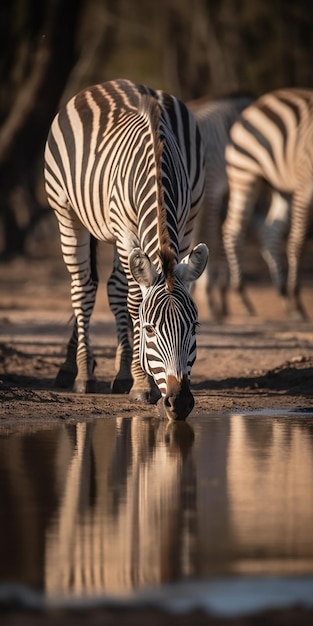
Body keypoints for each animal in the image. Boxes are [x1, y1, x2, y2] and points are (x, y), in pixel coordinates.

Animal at [42, 78, 206, 420]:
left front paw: (135, 377)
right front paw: (143, 385)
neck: (157, 163)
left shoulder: (184, 226)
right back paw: (82, 374)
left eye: (194, 326)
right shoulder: (126, 233)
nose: (179, 402)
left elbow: (129, 295)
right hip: (68, 213)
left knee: (112, 287)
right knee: (83, 289)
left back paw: (115, 372)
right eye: (149, 329)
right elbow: (133, 302)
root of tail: (113, 82)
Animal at [222, 88, 312, 320]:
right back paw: (244, 299)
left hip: (281, 185)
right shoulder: (306, 180)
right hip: (245, 173)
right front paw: (297, 300)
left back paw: (284, 297)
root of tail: (262, 101)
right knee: (233, 230)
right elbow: (298, 240)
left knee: (271, 231)